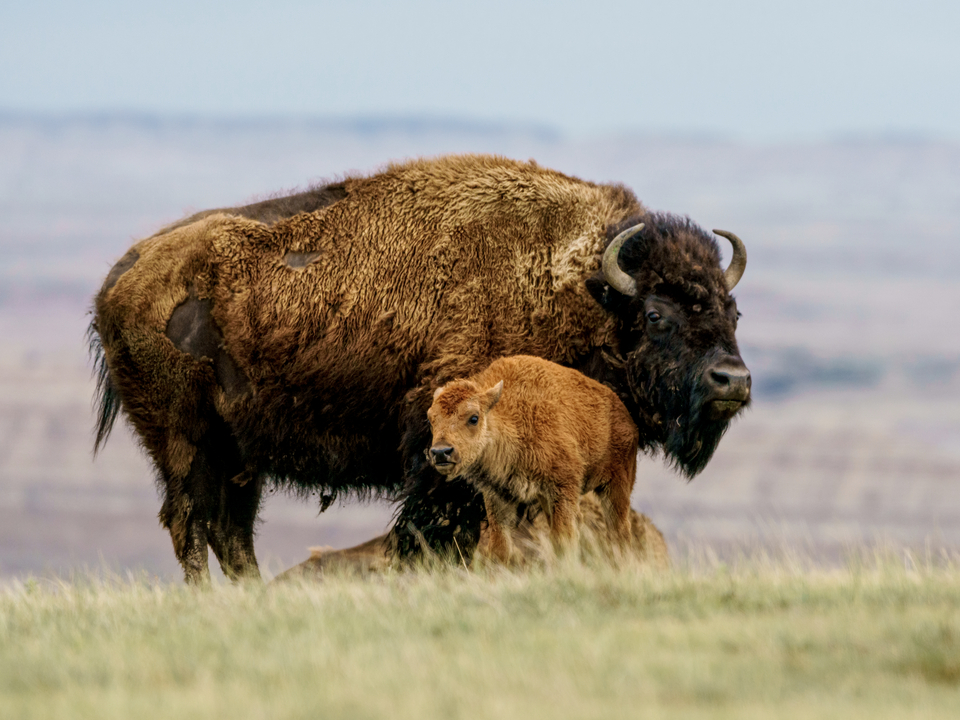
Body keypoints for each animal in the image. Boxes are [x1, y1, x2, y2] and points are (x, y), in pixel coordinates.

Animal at [427, 355, 638, 561]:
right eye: (431, 419)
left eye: (473, 418)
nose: (441, 452)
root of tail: (626, 416)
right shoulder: (499, 497)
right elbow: (500, 547)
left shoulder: (563, 488)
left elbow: (563, 539)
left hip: (616, 485)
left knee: (620, 531)